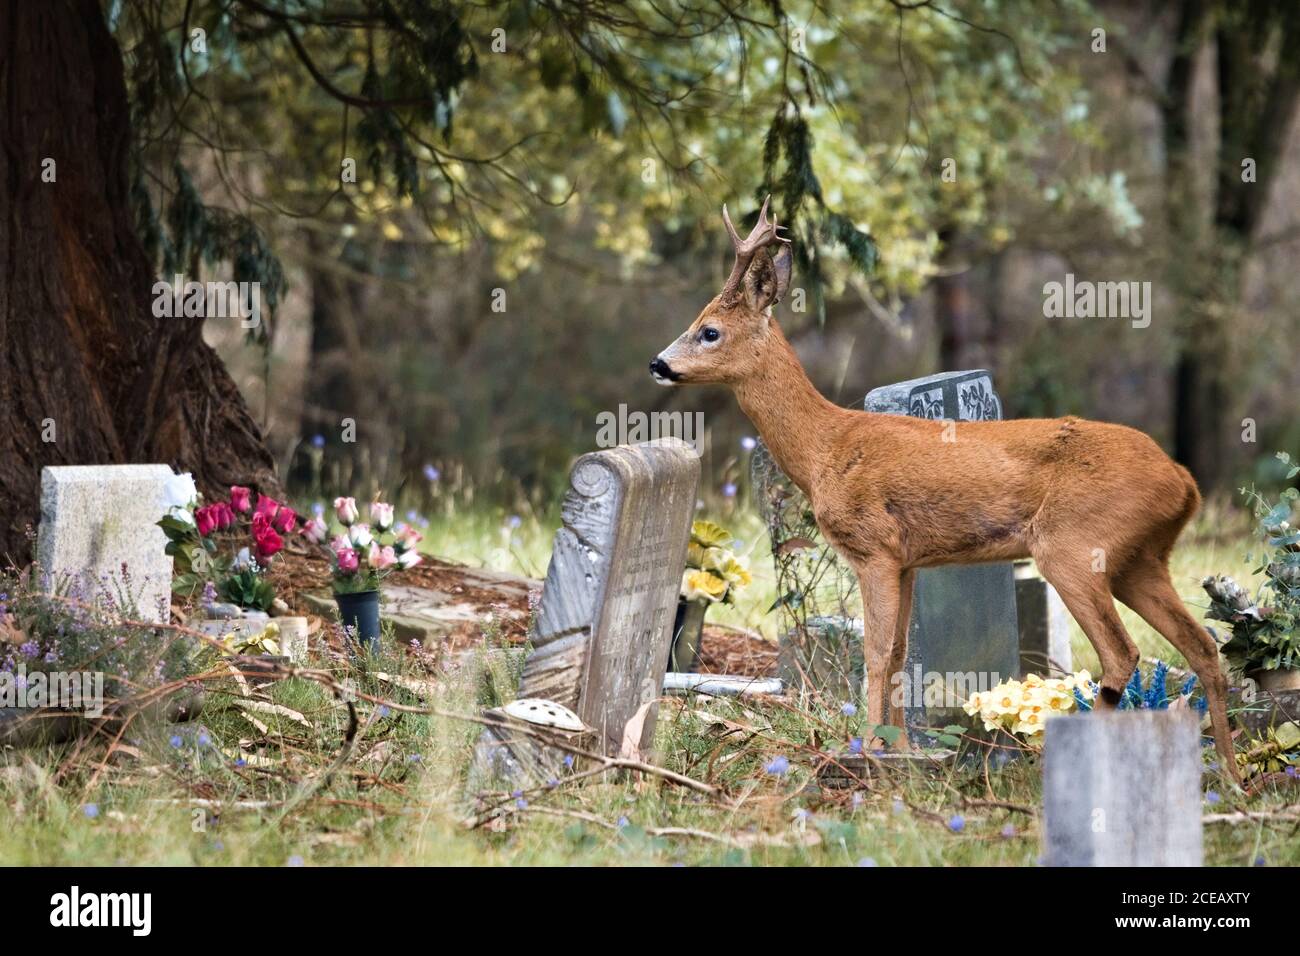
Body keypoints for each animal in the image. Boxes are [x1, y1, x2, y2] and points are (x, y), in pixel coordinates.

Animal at [650, 197, 1237, 780]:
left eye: (709, 331)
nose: (658, 363)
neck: (826, 450)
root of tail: (1185, 482)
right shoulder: (908, 560)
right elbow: (901, 651)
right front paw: (903, 749)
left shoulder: (873, 547)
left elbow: (876, 653)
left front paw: (866, 751)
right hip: (1142, 559)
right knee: (1203, 647)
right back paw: (1231, 773)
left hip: (1072, 544)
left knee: (1122, 654)